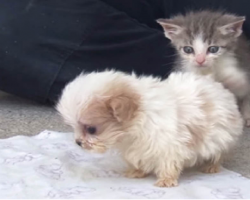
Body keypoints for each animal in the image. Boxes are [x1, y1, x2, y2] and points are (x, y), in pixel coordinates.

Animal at [56, 69, 242, 187]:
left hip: (220, 134)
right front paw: (137, 171)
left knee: (219, 151)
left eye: (91, 129)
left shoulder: (168, 143)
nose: (78, 142)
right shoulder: (137, 146)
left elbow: (168, 162)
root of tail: (217, 85)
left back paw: (212, 166)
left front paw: (166, 180)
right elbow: (139, 158)